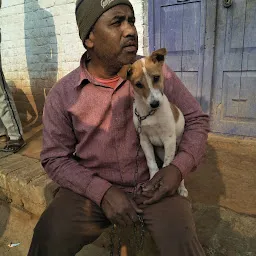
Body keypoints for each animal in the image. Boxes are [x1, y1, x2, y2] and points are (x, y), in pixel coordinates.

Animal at [120, 47, 188, 196]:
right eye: (139, 84)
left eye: (156, 77)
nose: (155, 103)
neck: (149, 114)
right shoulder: (144, 140)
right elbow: (152, 164)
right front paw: (152, 180)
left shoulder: (169, 139)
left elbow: (168, 166)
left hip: (175, 147)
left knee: (180, 170)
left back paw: (182, 188)